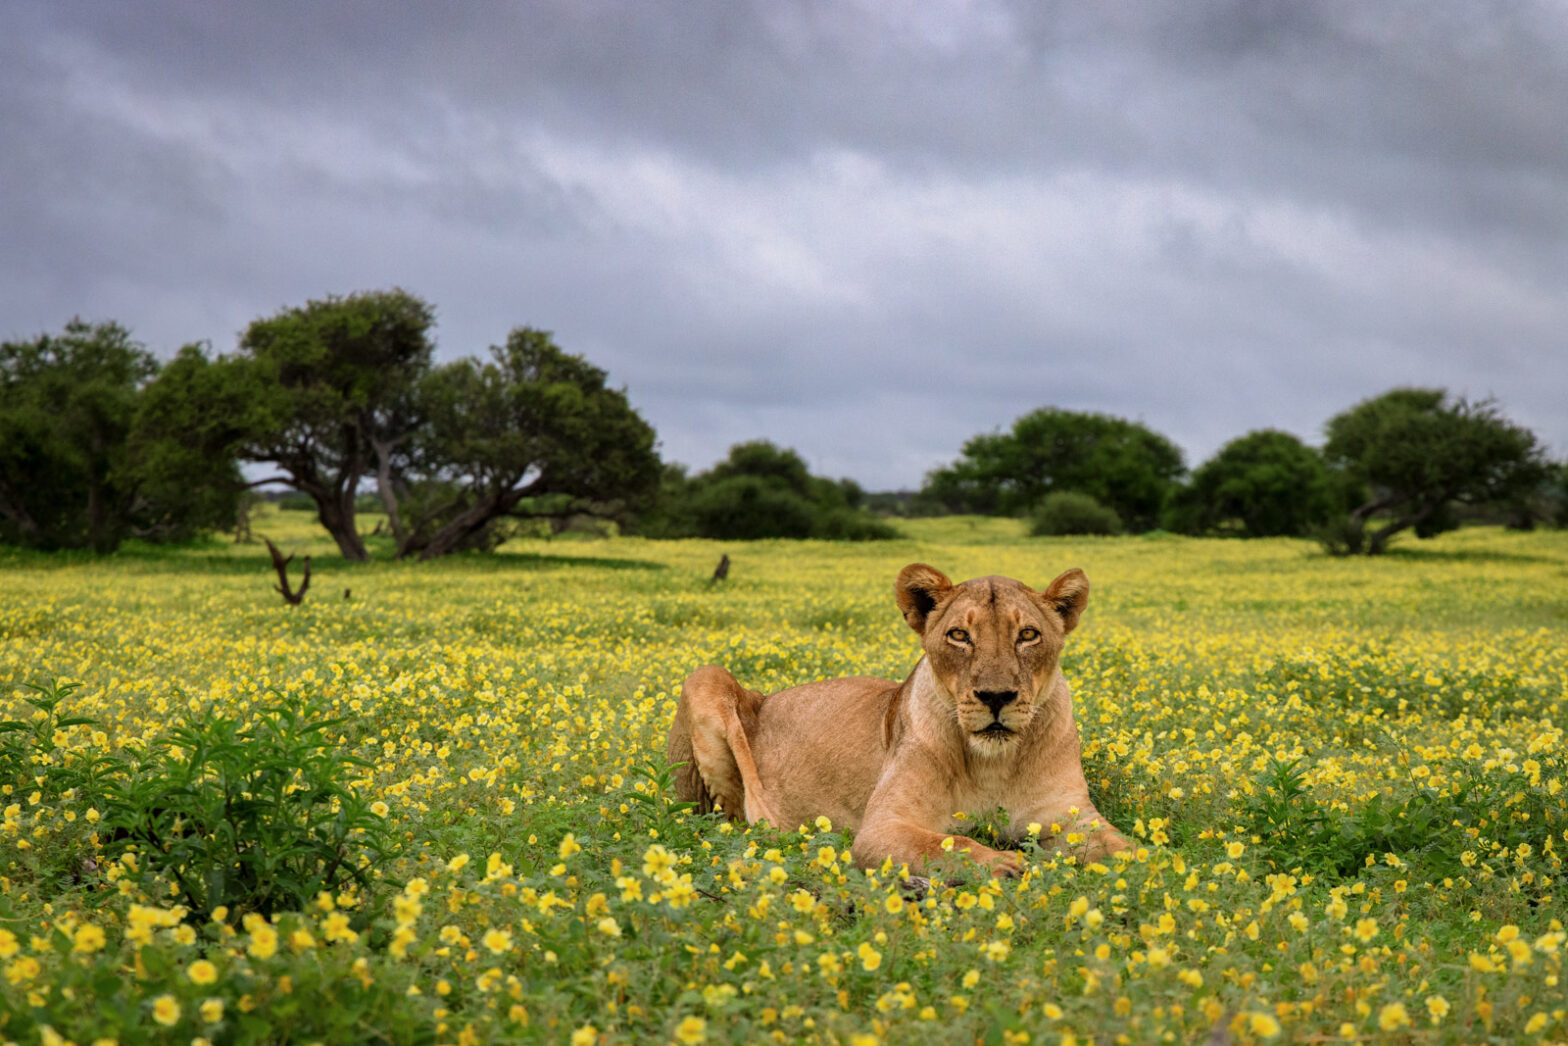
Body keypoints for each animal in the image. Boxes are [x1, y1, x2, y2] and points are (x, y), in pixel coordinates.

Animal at [666, 563, 1129, 876]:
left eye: (1028, 635)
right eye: (959, 635)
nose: (996, 696)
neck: (992, 763)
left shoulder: (1071, 817)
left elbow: (1127, 848)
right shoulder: (882, 828)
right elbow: (951, 841)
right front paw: (1004, 863)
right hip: (706, 677)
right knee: (728, 817)